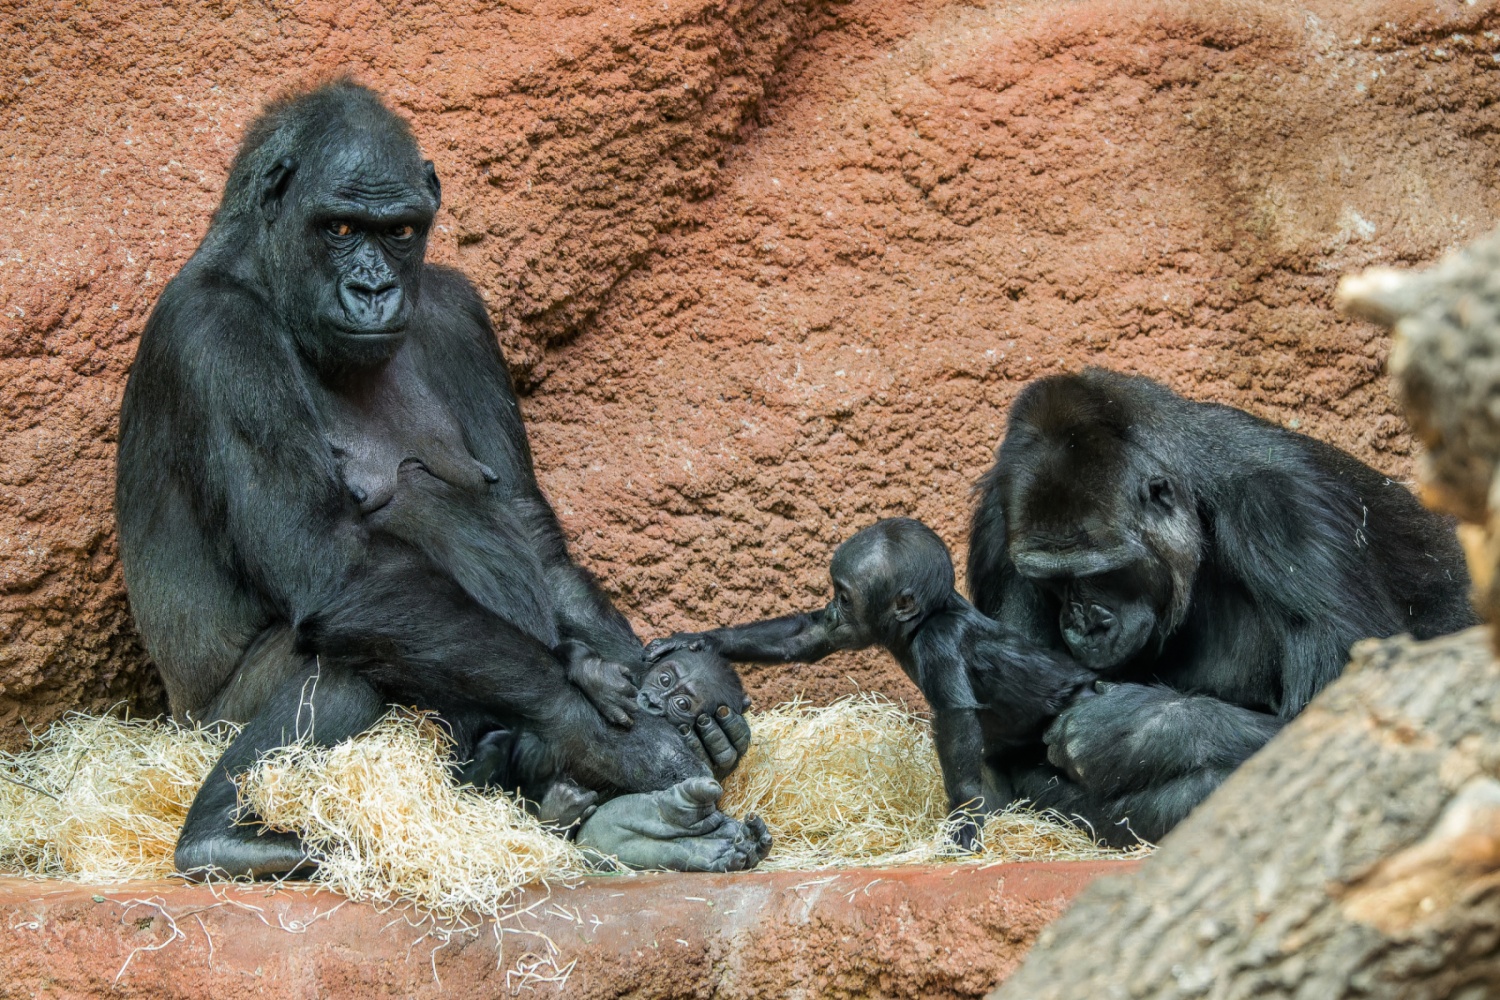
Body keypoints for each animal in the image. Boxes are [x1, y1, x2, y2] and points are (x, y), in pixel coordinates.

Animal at [117, 82, 768, 881]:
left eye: (399, 231)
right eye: (338, 227)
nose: (373, 287)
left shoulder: (460, 313)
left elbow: (529, 529)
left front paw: (657, 687)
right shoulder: (220, 340)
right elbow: (336, 569)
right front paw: (619, 739)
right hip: (205, 729)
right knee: (356, 650)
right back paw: (221, 837)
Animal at [645, 521, 1092, 851]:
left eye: (844, 597)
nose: (831, 609)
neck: (919, 624)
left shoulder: (940, 641)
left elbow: (956, 718)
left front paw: (963, 822)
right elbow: (807, 637)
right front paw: (700, 640)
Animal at [966, 367, 1470, 845]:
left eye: (1102, 574)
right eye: (1052, 581)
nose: (1085, 625)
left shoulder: (1287, 510)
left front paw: (1133, 730)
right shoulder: (995, 526)